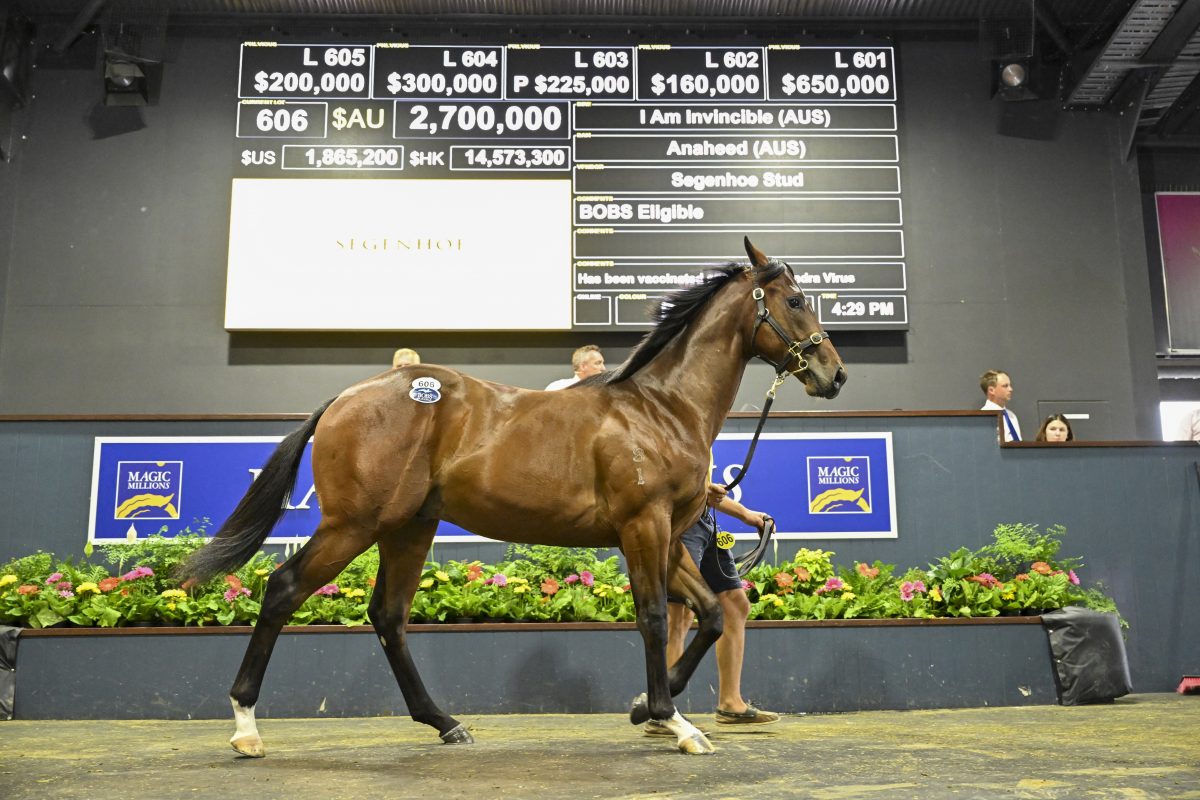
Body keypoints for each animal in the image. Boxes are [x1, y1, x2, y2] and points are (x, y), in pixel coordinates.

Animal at [182, 236, 849, 758]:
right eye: (795, 300)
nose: (834, 374)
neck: (658, 408)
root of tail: (347, 397)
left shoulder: (668, 535)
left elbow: (709, 614)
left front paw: (646, 710)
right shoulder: (645, 527)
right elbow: (656, 618)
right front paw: (670, 719)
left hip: (409, 528)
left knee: (389, 616)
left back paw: (446, 724)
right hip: (354, 524)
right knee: (284, 589)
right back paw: (245, 727)